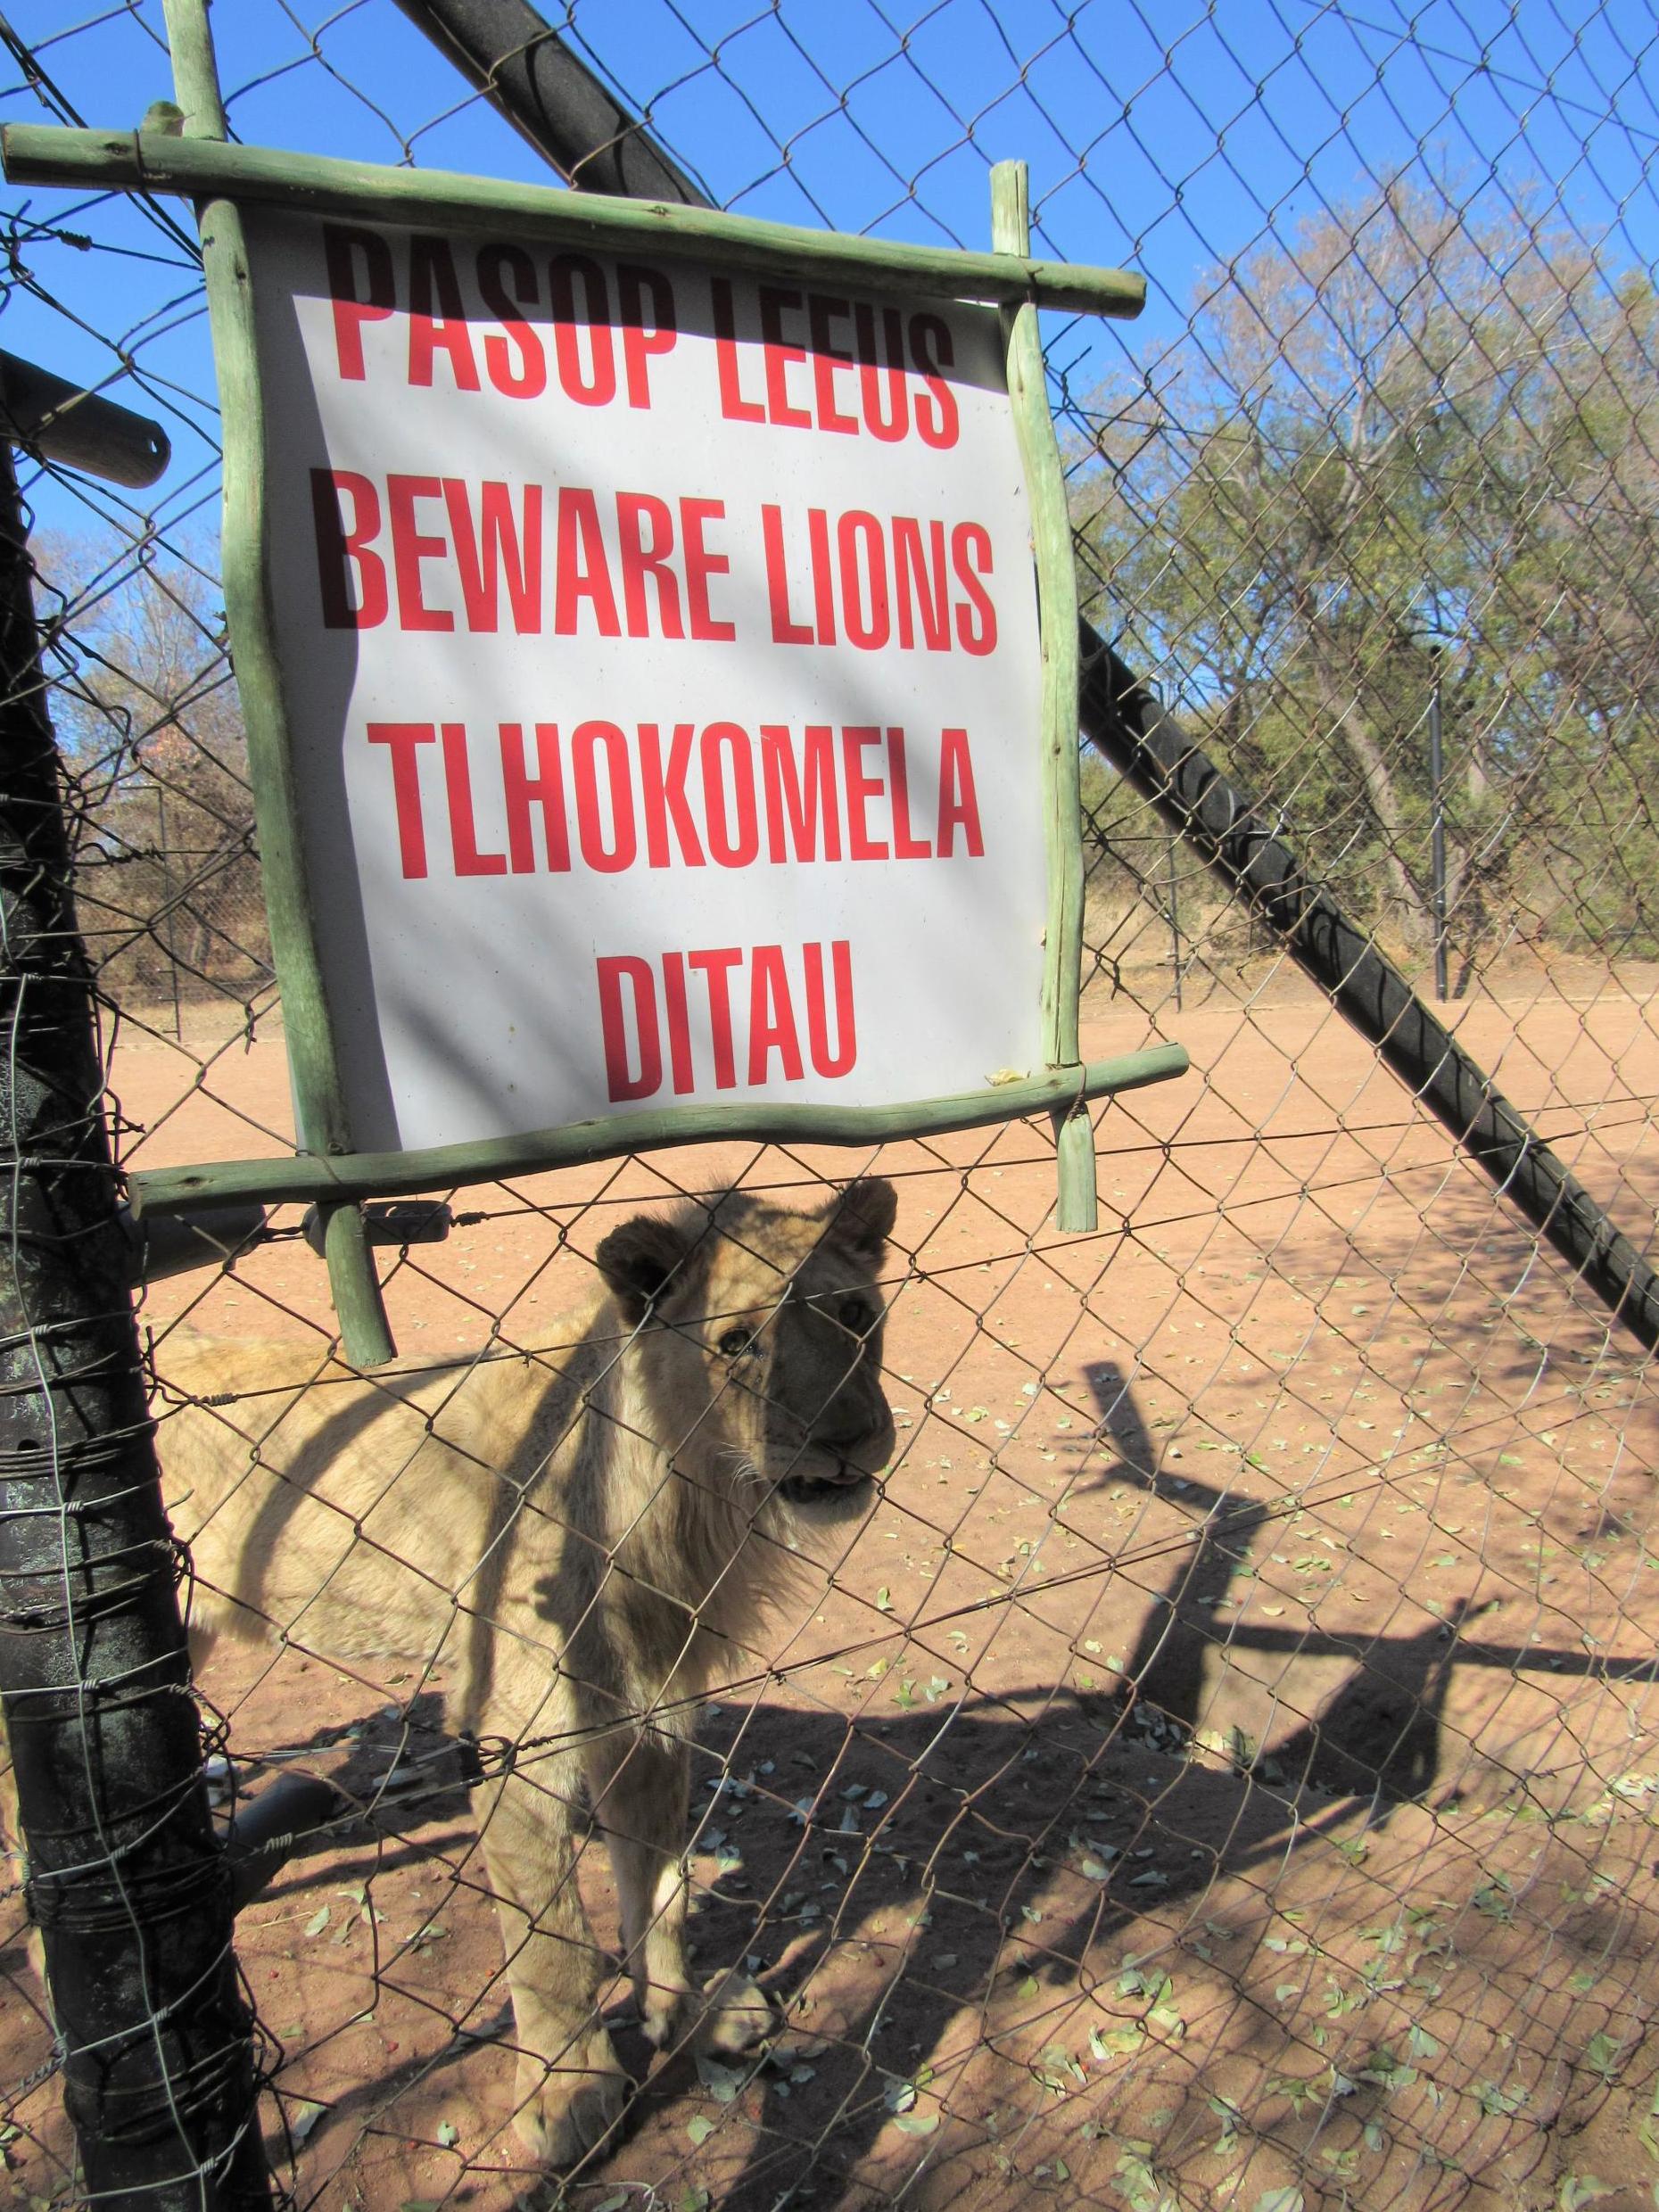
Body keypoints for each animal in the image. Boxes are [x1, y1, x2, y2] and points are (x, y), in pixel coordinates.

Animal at [162, 1176, 902, 2158]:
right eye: (738, 1342)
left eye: (856, 1313)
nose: (850, 1436)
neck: (682, 1498)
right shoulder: (511, 1739)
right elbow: (553, 1942)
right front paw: (572, 2095)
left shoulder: (646, 1711)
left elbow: (658, 1887)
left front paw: (687, 2018)